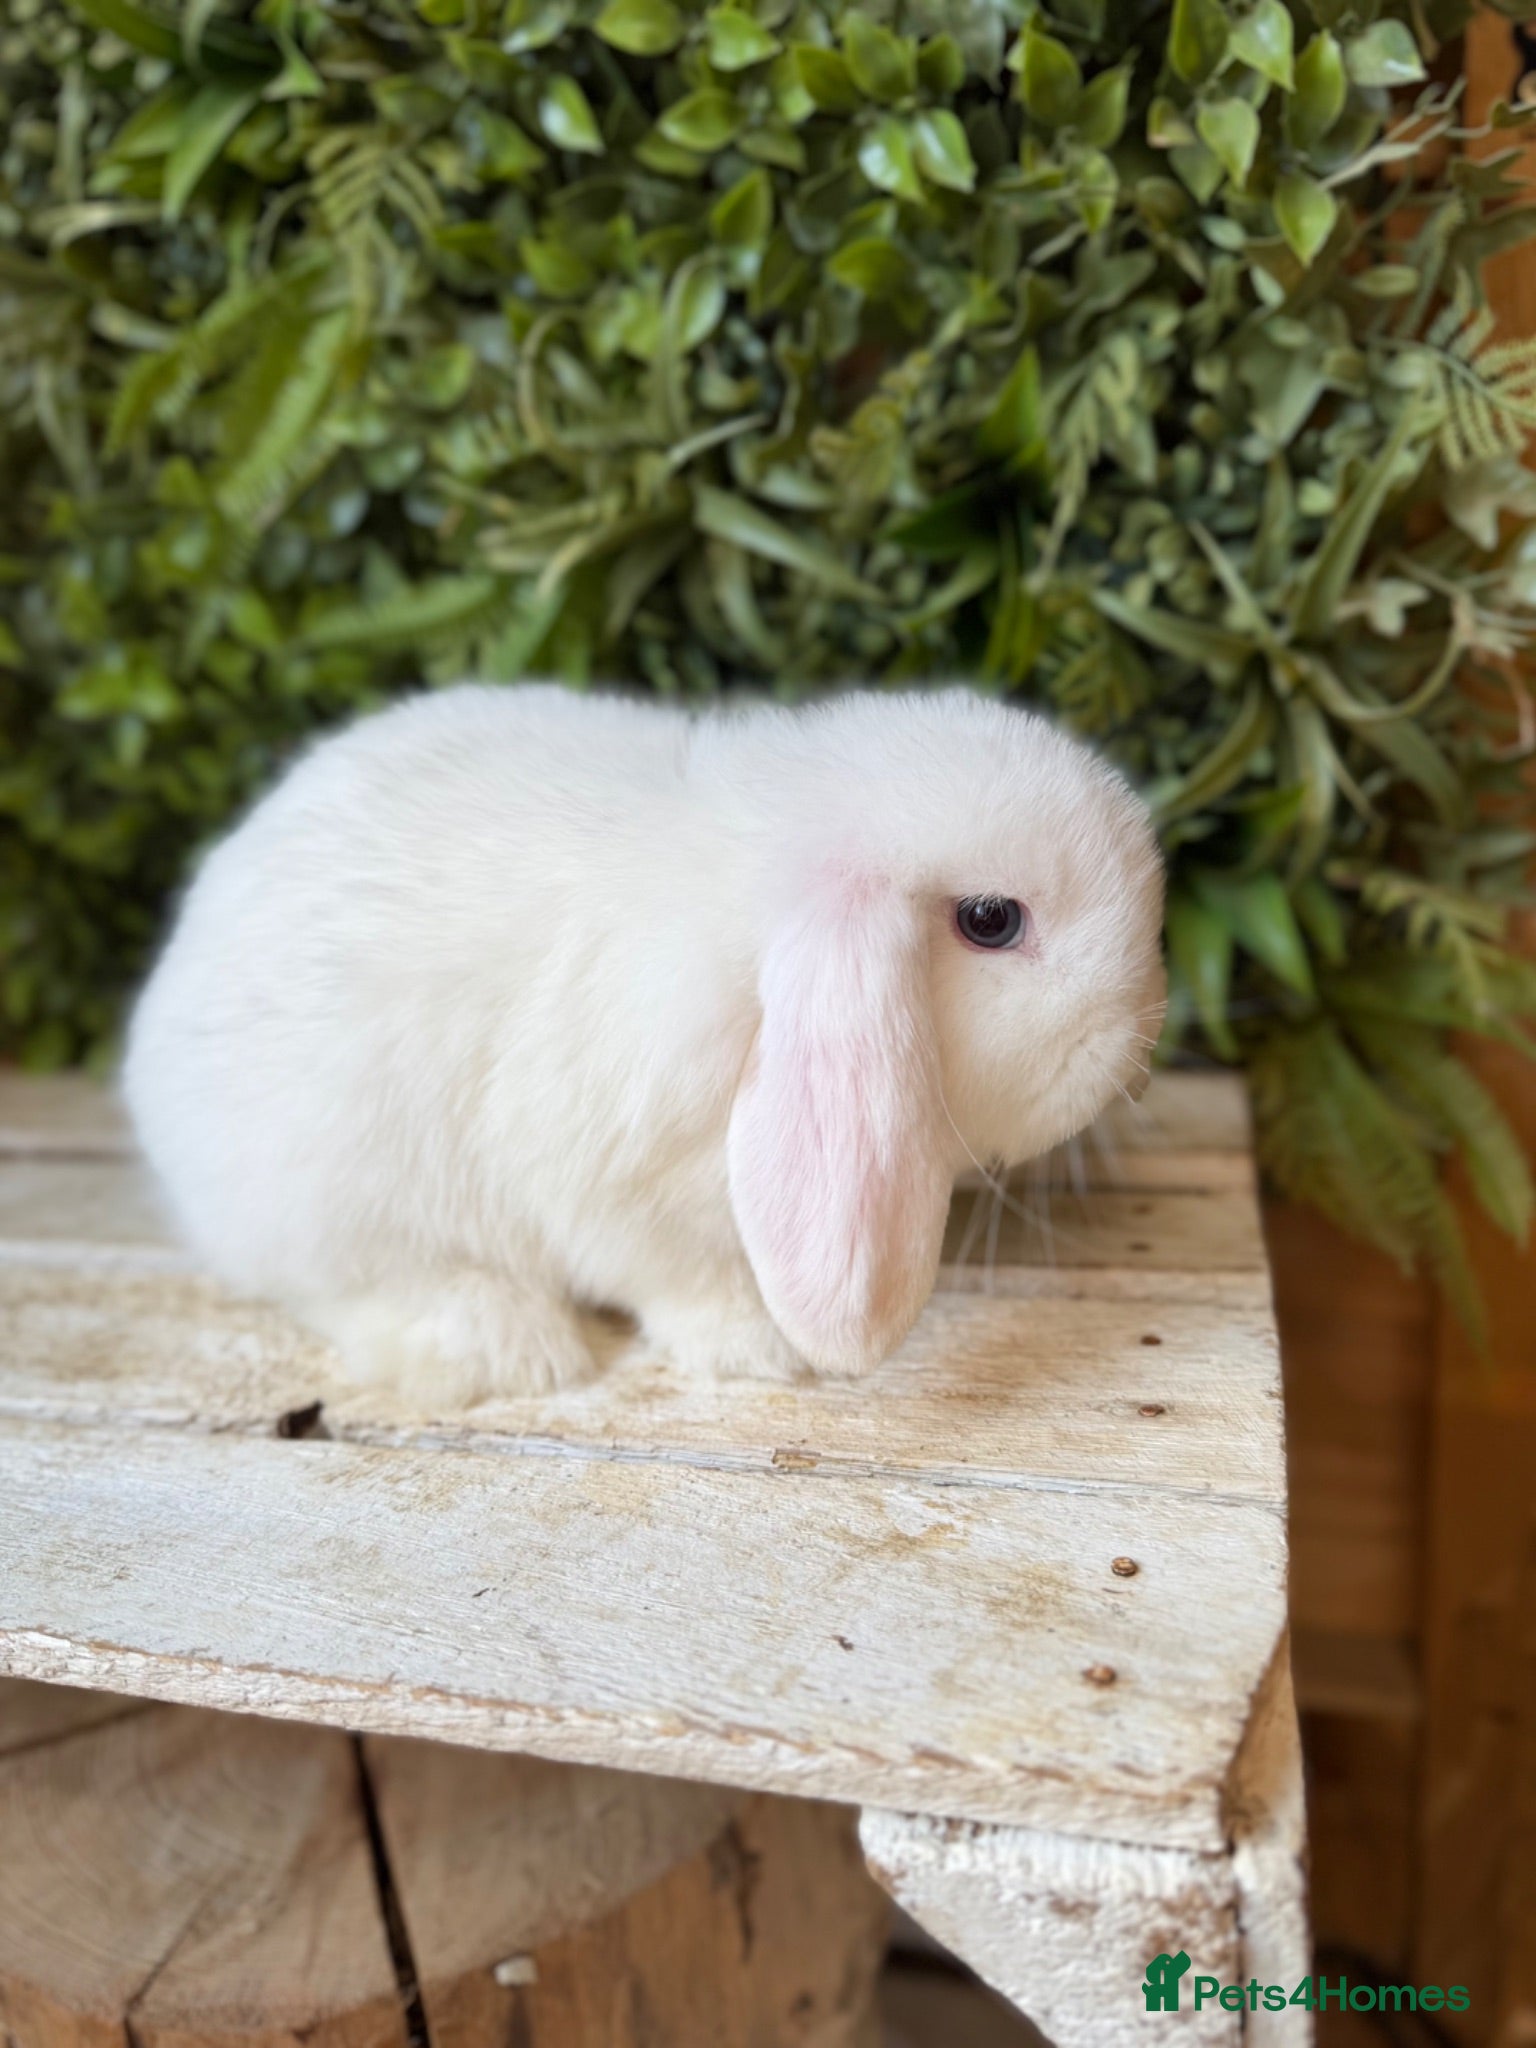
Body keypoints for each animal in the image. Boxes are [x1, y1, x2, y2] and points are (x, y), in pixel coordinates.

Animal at [123, 683, 1166, 1405]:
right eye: (991, 921)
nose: (1142, 1030)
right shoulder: (619, 1187)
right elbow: (678, 1275)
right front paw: (762, 1348)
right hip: (331, 1191)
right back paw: (507, 1347)